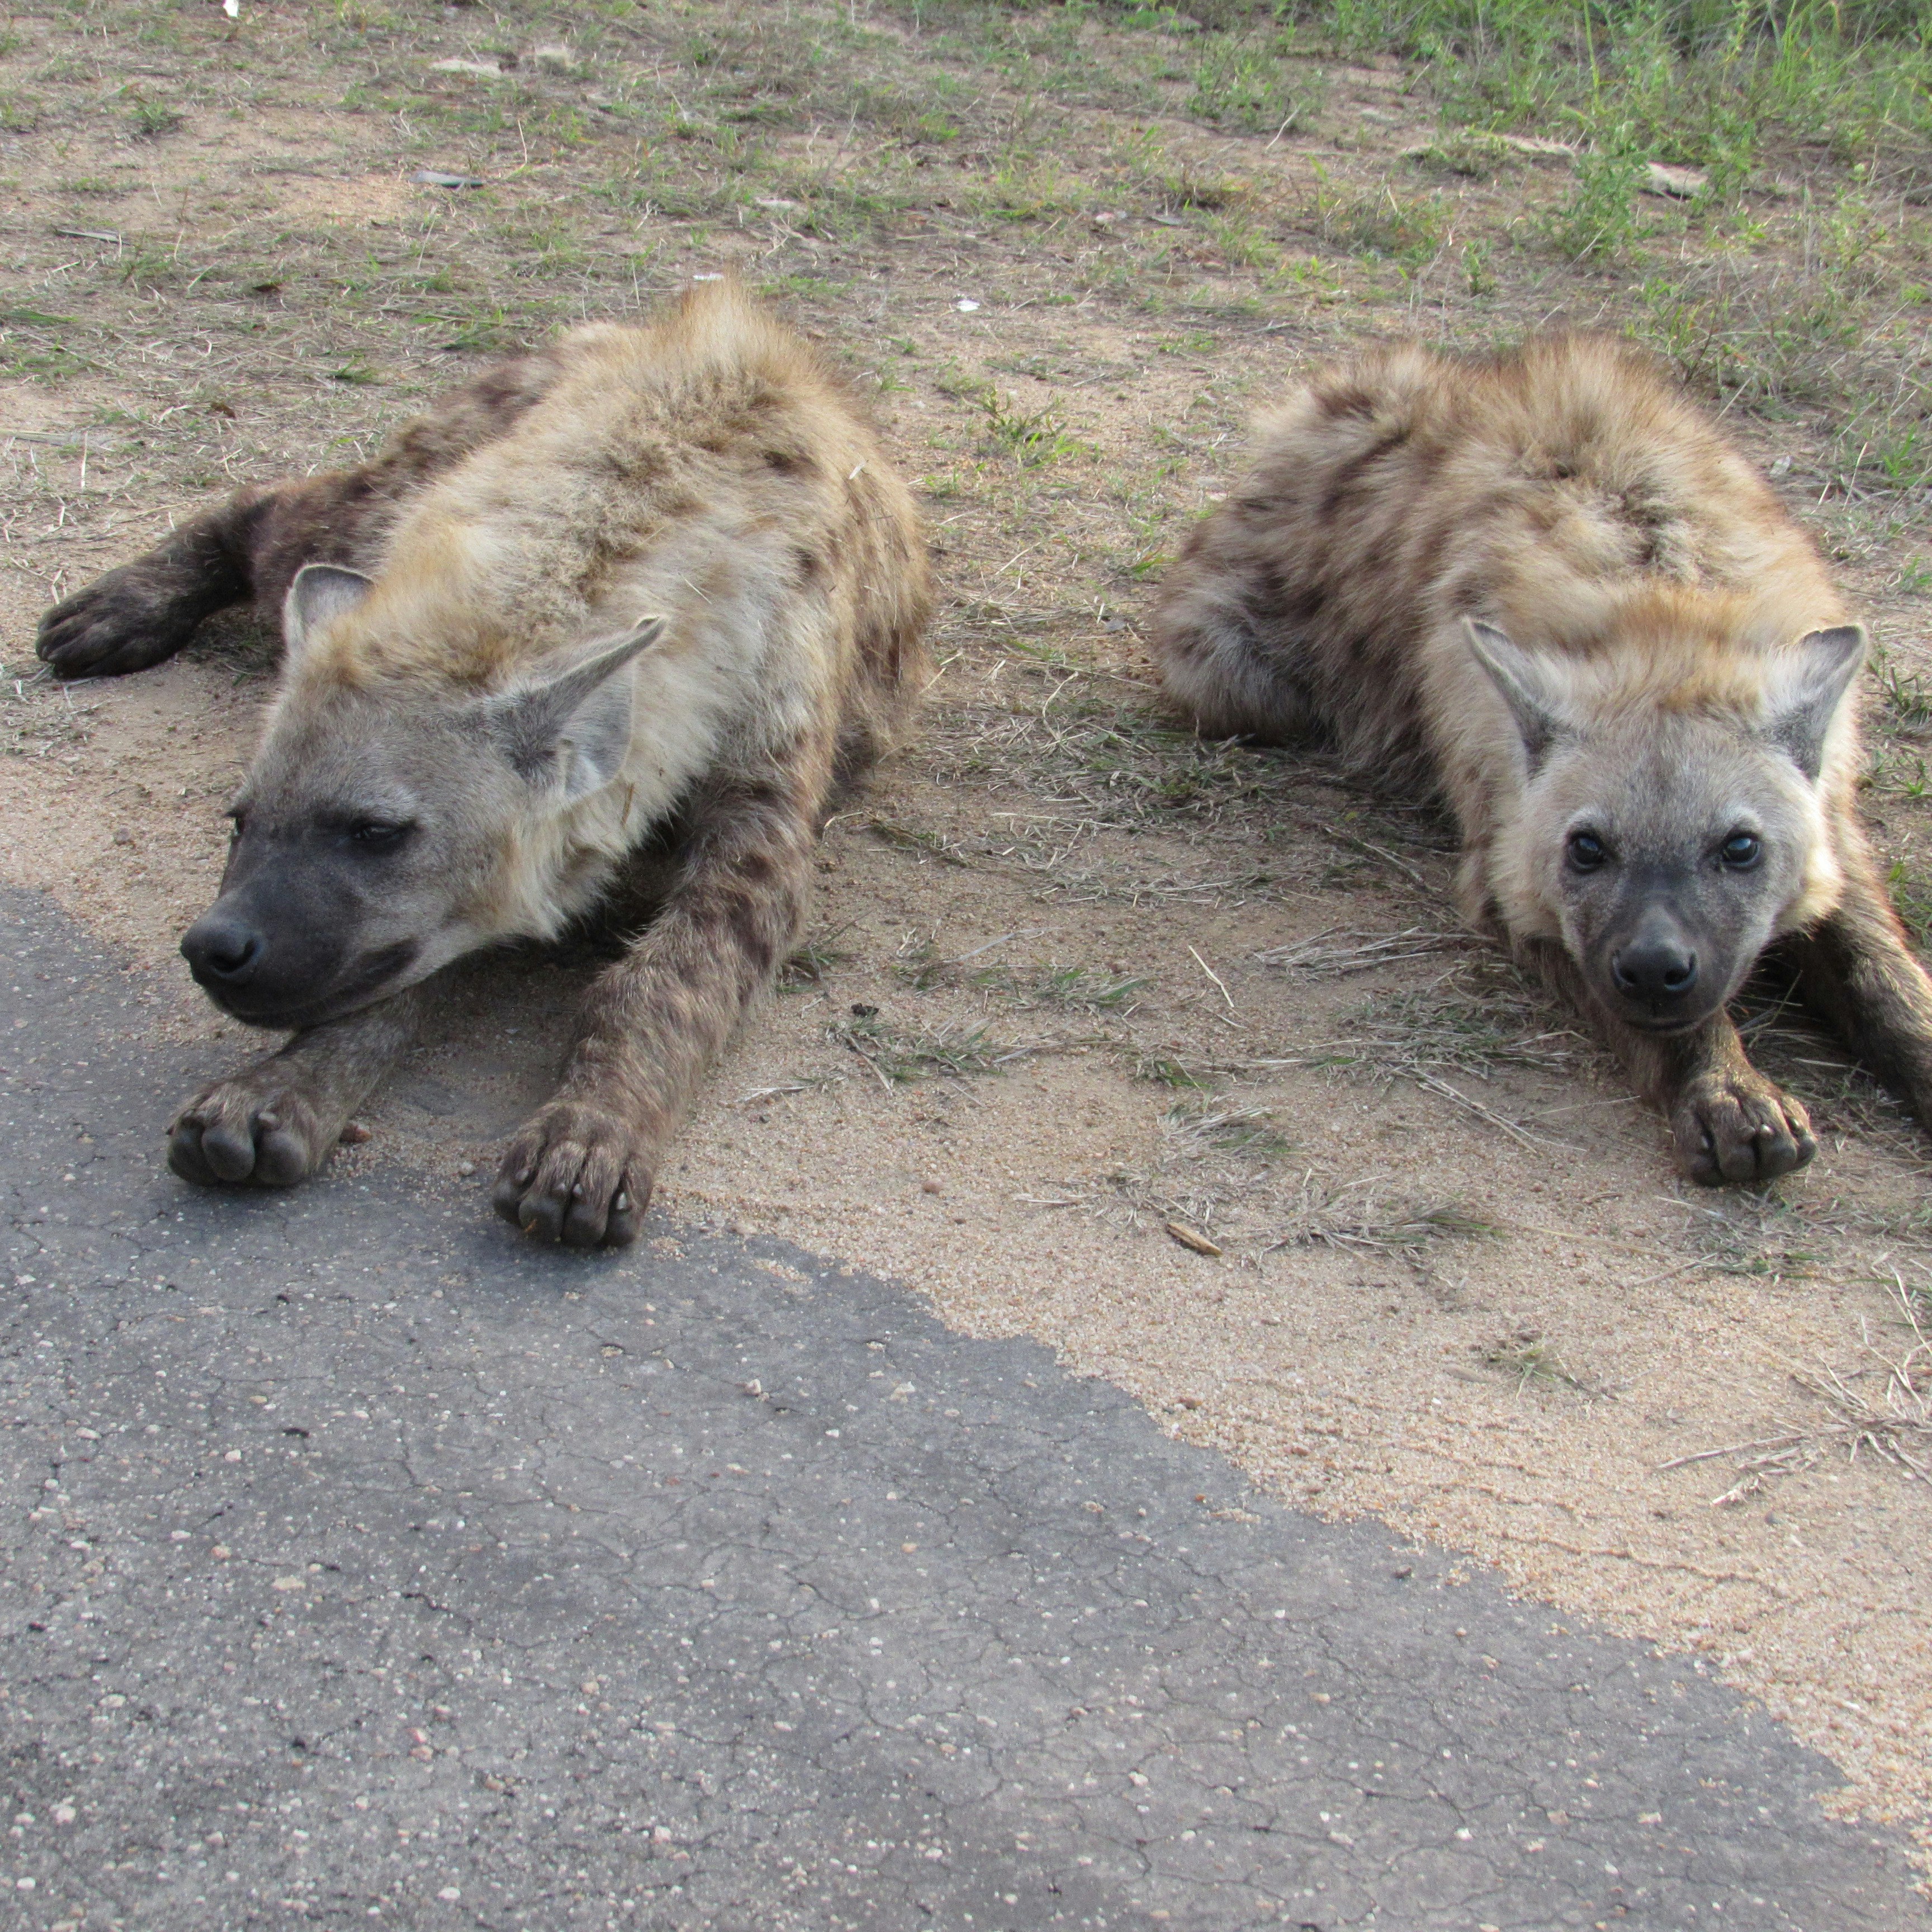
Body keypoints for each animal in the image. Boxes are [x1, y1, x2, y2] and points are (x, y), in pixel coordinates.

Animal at [36, 283, 932, 1244]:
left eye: (376, 832)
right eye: (239, 823)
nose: (215, 946)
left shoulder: (770, 782)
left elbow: (672, 975)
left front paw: (590, 1140)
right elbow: (392, 977)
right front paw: (272, 1096)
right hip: (393, 494)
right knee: (280, 509)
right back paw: (116, 610)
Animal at [1150, 332, 1932, 1185]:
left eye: (1741, 848)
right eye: (1586, 848)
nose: (1655, 966)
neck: (1664, 609)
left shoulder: (1834, 811)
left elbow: (1873, 959)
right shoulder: (1504, 851)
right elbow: (1627, 997)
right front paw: (1730, 1096)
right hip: (1232, 669)